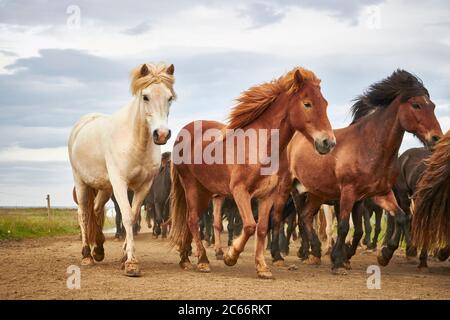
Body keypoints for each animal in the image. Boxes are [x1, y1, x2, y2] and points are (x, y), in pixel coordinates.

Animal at [68, 62, 176, 276]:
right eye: (145, 96)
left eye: (169, 97)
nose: (161, 134)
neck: (135, 141)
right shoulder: (120, 183)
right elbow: (126, 216)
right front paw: (131, 263)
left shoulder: (143, 186)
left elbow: (133, 217)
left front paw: (124, 256)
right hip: (81, 182)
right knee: (83, 213)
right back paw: (87, 255)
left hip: (104, 187)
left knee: (96, 210)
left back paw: (99, 249)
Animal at [171, 67, 336, 278]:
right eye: (307, 104)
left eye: (325, 103)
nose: (328, 142)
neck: (259, 146)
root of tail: (183, 132)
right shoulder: (240, 191)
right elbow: (250, 226)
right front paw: (230, 256)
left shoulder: (267, 195)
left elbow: (262, 228)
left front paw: (262, 267)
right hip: (191, 185)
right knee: (192, 221)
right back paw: (202, 261)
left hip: (205, 192)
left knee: (189, 220)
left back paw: (185, 259)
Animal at [288, 69, 442, 274]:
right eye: (416, 105)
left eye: (432, 106)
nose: (436, 138)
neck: (369, 147)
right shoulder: (348, 193)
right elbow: (344, 226)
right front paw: (338, 260)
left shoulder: (378, 194)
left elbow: (400, 218)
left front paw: (384, 254)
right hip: (297, 191)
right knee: (299, 219)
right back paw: (304, 252)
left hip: (317, 194)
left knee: (305, 217)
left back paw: (316, 252)